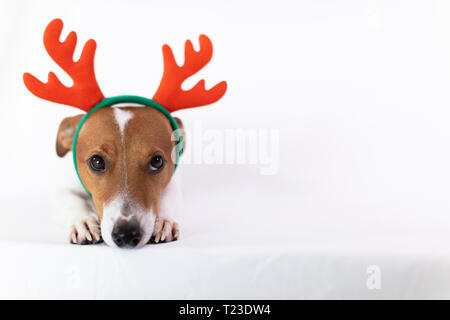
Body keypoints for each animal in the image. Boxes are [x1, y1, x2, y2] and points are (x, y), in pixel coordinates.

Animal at [53, 106, 185, 249]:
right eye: (97, 161)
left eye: (157, 161)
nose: (126, 234)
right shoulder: (64, 189)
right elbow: (72, 201)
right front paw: (84, 223)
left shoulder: (172, 183)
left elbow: (168, 197)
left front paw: (163, 222)